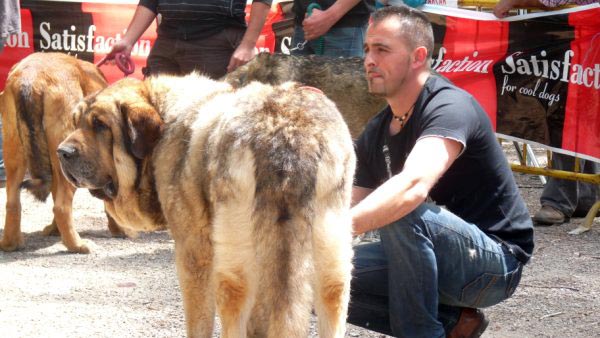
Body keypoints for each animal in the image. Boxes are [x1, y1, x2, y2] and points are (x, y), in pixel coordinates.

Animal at [0, 52, 122, 254]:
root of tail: (31, 77)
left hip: (15, 153)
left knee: (13, 202)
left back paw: (11, 243)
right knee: (62, 207)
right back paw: (77, 245)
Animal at [56, 72, 356, 336]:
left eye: (100, 126)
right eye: (75, 122)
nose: (62, 152)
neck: (165, 117)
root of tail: (288, 134)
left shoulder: (194, 253)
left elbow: (199, 320)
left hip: (234, 258)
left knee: (234, 299)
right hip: (331, 249)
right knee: (332, 294)